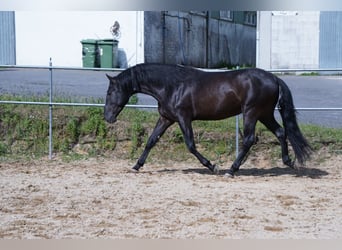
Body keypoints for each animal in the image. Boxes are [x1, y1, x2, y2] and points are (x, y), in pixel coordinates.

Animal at [103, 63, 312, 176]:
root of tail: (274, 79)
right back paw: (289, 163)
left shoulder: (183, 118)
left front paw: (212, 166)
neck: (171, 86)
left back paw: (231, 170)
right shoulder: (166, 118)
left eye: (111, 92)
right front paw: (136, 166)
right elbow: (151, 141)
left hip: (251, 113)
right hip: (264, 114)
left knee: (249, 139)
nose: (107, 117)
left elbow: (190, 145)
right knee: (281, 132)